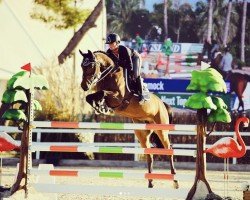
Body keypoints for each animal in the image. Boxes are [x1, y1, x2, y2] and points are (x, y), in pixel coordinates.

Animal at [79, 49, 179, 188]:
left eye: (91, 66)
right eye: (82, 66)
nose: (84, 86)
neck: (110, 73)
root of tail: (163, 104)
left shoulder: (118, 97)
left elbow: (103, 93)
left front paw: (102, 108)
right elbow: (91, 97)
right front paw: (100, 107)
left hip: (161, 130)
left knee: (169, 149)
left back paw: (175, 180)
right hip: (142, 133)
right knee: (149, 154)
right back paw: (150, 182)